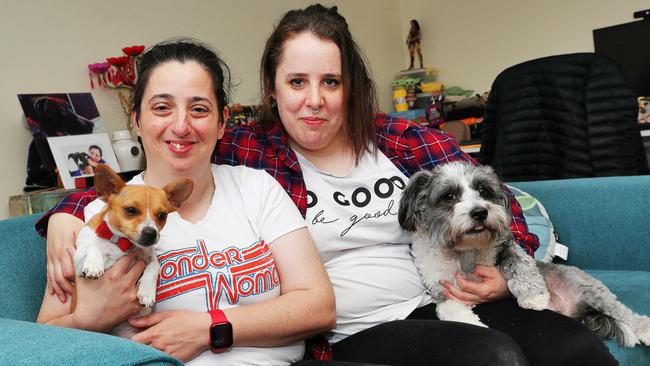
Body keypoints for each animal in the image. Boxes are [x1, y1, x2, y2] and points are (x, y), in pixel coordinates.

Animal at [73, 163, 192, 332]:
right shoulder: (78, 265)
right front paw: (94, 265)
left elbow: (154, 267)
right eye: (130, 210)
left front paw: (147, 292)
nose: (151, 233)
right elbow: (93, 247)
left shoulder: (149, 258)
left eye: (162, 215)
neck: (121, 242)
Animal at [398, 162, 648, 348]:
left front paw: (534, 296)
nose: (480, 212)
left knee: (624, 313)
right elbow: (449, 308)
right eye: (449, 196)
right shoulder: (441, 288)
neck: (465, 251)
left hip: (592, 292)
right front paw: (474, 325)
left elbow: (518, 262)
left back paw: (644, 329)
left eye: (484, 191)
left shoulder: (505, 245)